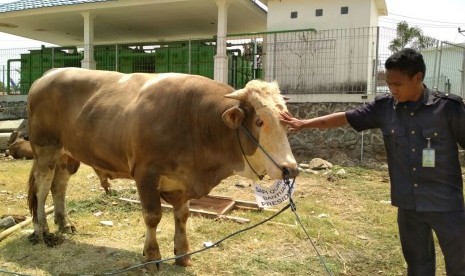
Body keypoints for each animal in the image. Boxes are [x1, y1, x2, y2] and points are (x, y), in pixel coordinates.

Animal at [27, 68, 298, 268]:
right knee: (42, 187)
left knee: (59, 186)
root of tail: (46, 76)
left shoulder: (180, 180)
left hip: (67, 155)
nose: (290, 169)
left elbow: (182, 215)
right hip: (45, 148)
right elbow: (153, 216)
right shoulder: (146, 173)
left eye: (287, 122)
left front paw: (183, 254)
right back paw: (42, 230)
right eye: (259, 121)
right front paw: (151, 256)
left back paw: (64, 223)